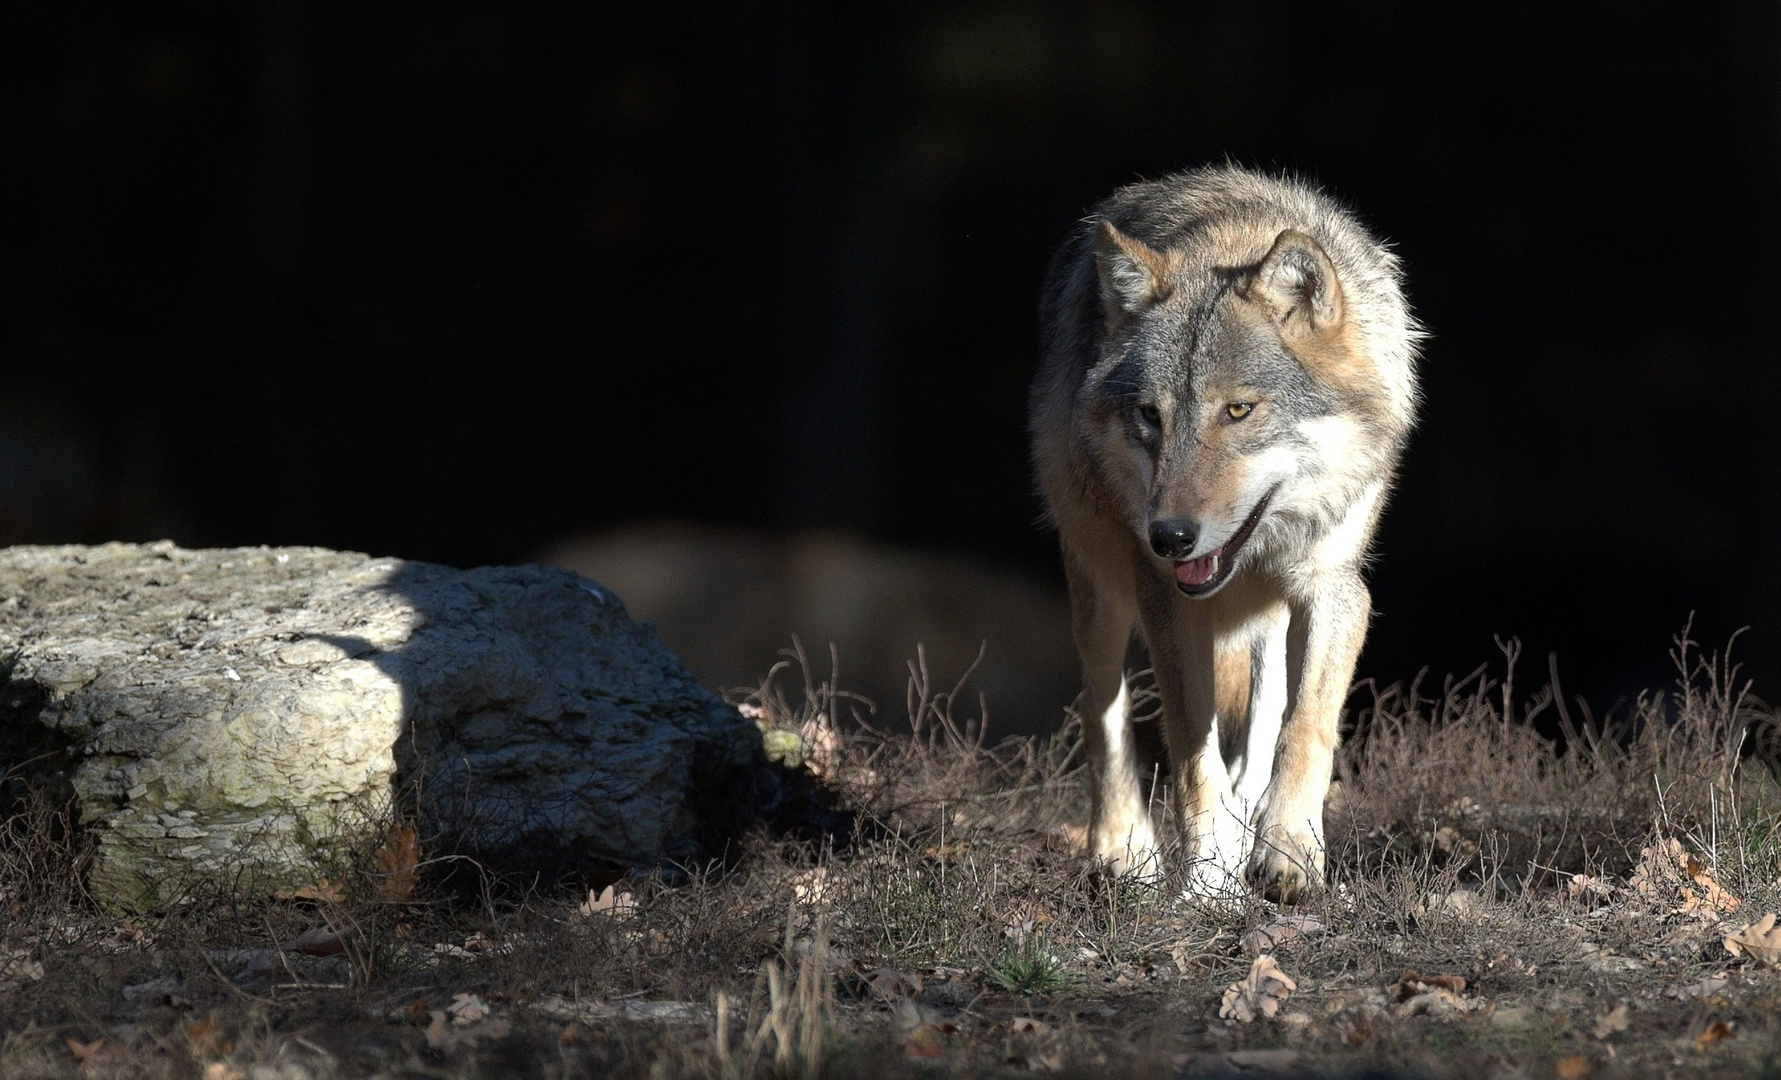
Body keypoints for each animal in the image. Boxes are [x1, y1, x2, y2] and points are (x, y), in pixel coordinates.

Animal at [1032, 163, 1417, 905]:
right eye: (1150, 416)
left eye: (1238, 410)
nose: (1170, 537)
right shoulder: (1166, 600)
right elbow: (1191, 751)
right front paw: (1207, 876)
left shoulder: (1334, 587)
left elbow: (1304, 725)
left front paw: (1288, 852)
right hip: (1100, 587)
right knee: (1101, 708)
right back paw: (1122, 850)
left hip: (1266, 618)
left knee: (1261, 727)